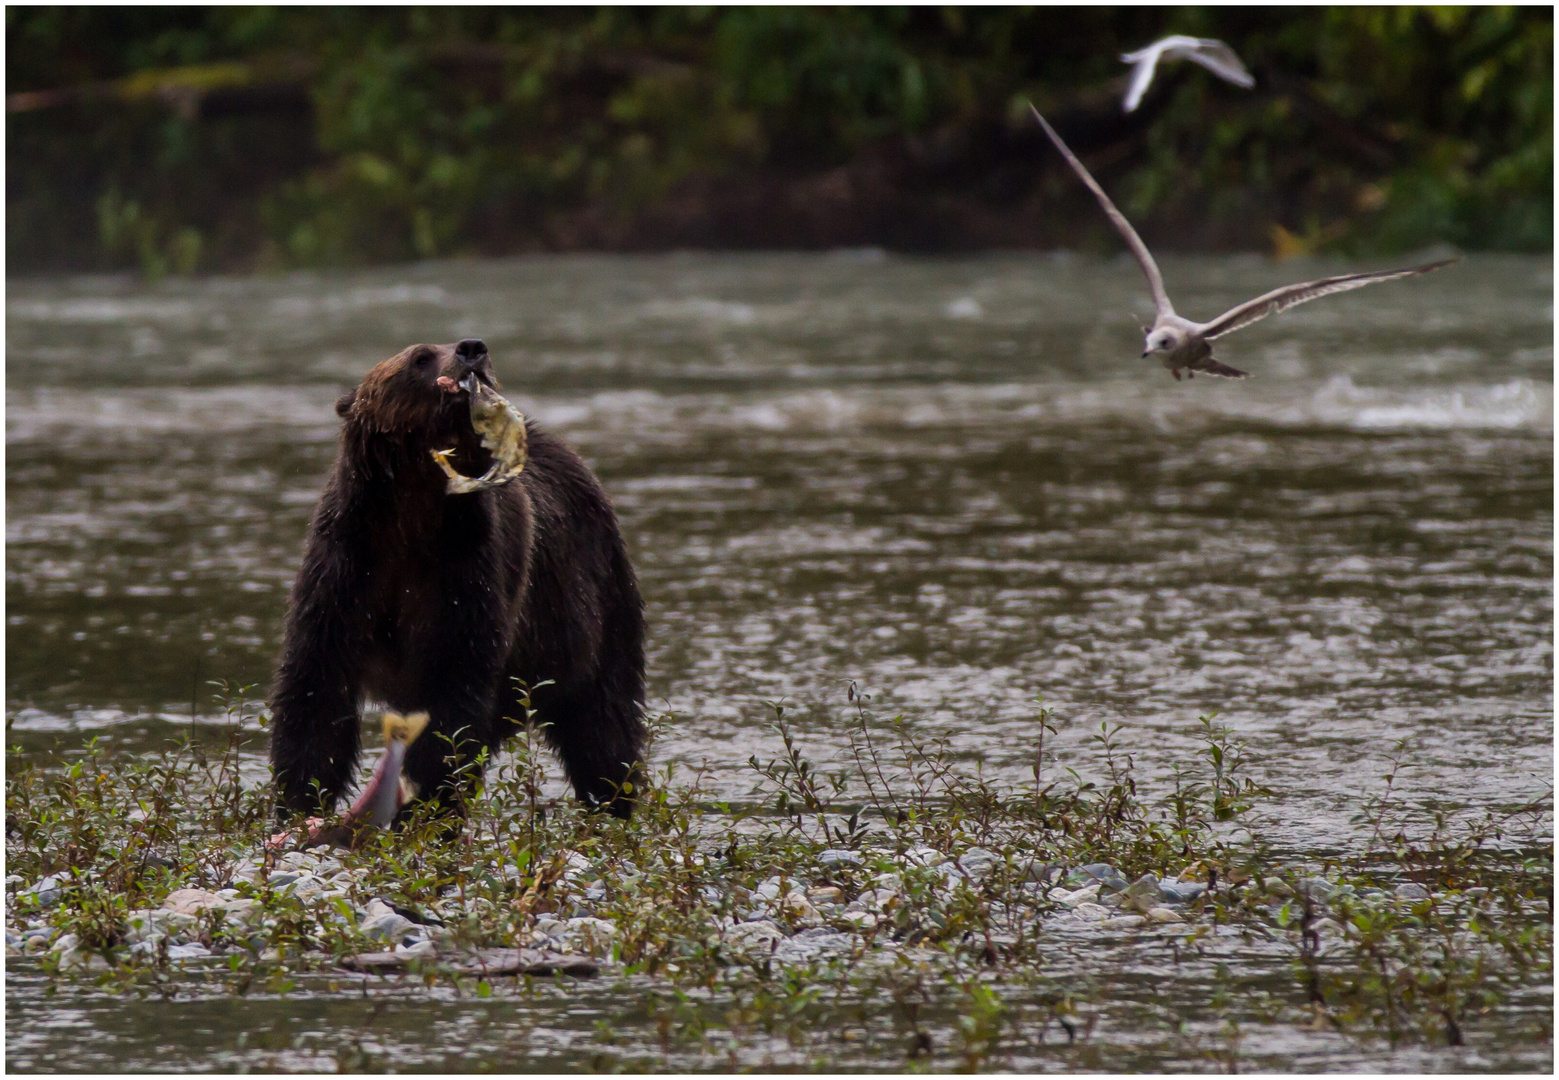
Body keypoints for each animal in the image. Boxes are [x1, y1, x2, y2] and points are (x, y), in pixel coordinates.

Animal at [268, 341, 645, 822]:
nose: (472, 349)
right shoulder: (348, 567)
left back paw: (613, 800)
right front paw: (300, 799)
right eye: (420, 356)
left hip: (593, 605)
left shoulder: (465, 573)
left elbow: (453, 694)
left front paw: (424, 802)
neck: (413, 511)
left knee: (604, 724)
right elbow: (315, 686)